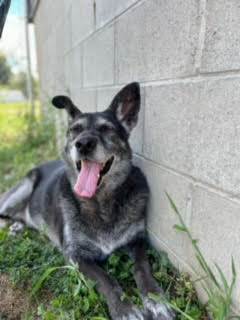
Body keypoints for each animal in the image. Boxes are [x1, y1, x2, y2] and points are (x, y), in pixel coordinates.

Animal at [0, 83, 174, 320]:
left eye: (106, 128)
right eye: (75, 130)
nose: (83, 144)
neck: (101, 202)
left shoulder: (138, 240)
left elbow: (142, 267)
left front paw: (156, 300)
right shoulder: (75, 255)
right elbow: (105, 278)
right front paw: (125, 309)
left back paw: (18, 226)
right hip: (22, 188)